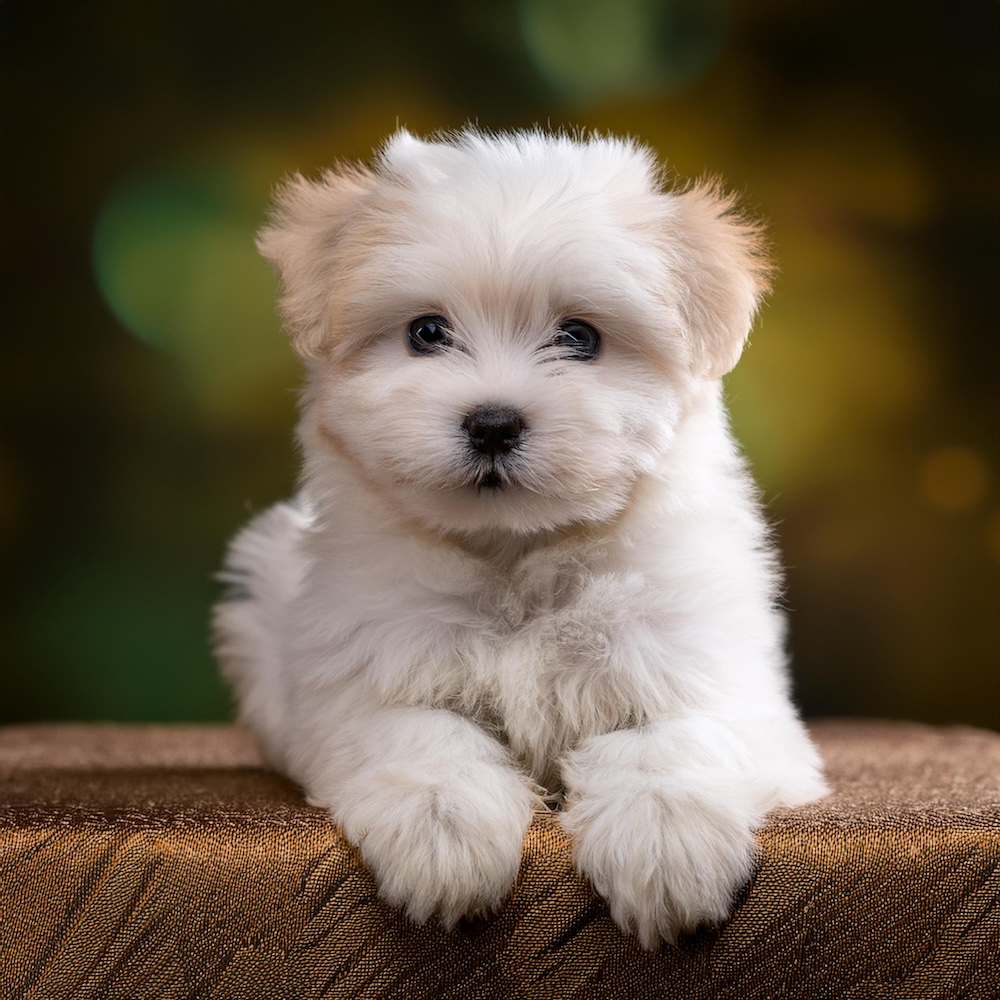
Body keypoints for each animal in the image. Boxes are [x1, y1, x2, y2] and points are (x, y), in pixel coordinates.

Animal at [213, 129, 828, 948]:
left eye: (579, 337)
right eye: (427, 333)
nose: (494, 423)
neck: (518, 555)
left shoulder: (711, 670)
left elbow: (669, 737)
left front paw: (666, 839)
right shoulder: (360, 676)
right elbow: (422, 736)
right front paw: (442, 831)